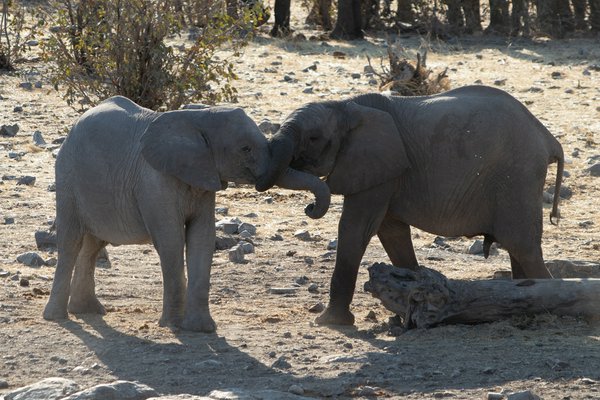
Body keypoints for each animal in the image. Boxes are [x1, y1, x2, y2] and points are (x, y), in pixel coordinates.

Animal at [44, 96, 330, 332]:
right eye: (245, 149)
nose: (310, 208)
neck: (198, 117)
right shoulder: (155, 181)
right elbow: (171, 241)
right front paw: (173, 325)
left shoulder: (204, 179)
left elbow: (202, 238)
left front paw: (202, 329)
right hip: (67, 177)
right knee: (71, 242)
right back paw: (57, 317)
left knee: (92, 245)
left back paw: (88, 311)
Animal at [256, 86, 564, 326]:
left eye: (314, 138)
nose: (309, 208)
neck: (346, 105)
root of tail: (548, 137)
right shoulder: (386, 171)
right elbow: (391, 232)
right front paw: (407, 303)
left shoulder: (377, 165)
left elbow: (356, 229)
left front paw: (329, 322)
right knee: (518, 249)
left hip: (518, 177)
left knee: (523, 247)